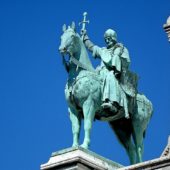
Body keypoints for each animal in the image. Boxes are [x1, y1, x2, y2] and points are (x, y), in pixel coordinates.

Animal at [58, 21, 153, 164]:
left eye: (72, 37)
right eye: (61, 37)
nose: (62, 49)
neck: (79, 74)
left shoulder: (89, 105)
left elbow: (87, 125)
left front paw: (84, 146)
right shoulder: (73, 109)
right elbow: (75, 128)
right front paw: (74, 146)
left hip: (138, 124)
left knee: (139, 146)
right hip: (120, 127)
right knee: (130, 148)